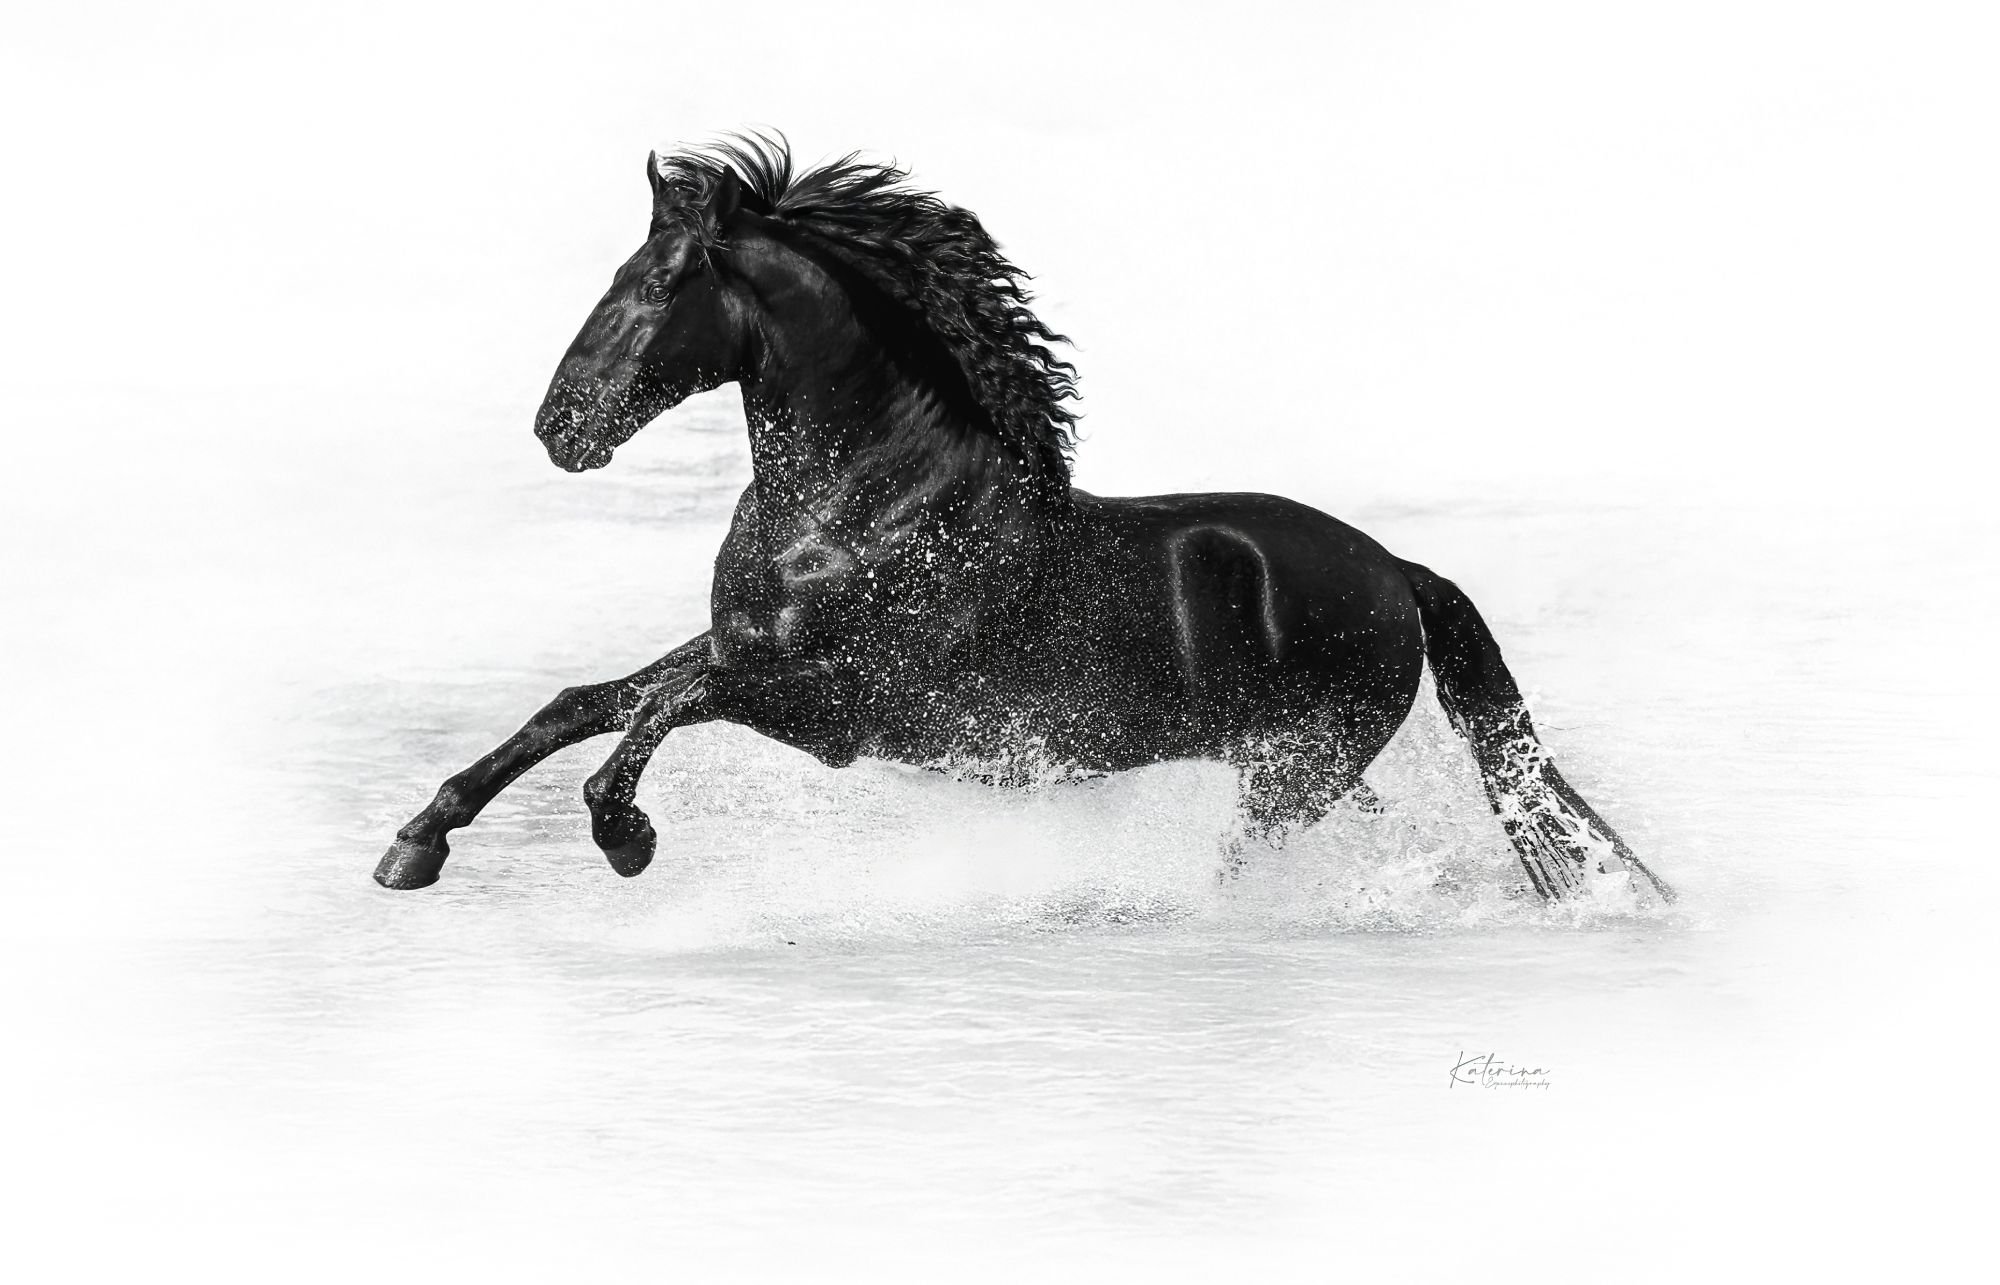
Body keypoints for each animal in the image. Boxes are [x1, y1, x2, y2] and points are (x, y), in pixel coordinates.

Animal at [374, 133, 1673, 905]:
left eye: (650, 285)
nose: (558, 427)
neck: (858, 506)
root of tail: (1395, 570)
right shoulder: (750, 650)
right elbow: (585, 700)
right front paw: (414, 845)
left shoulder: (840, 705)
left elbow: (658, 707)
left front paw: (623, 837)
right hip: (1290, 765)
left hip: (1294, 769)